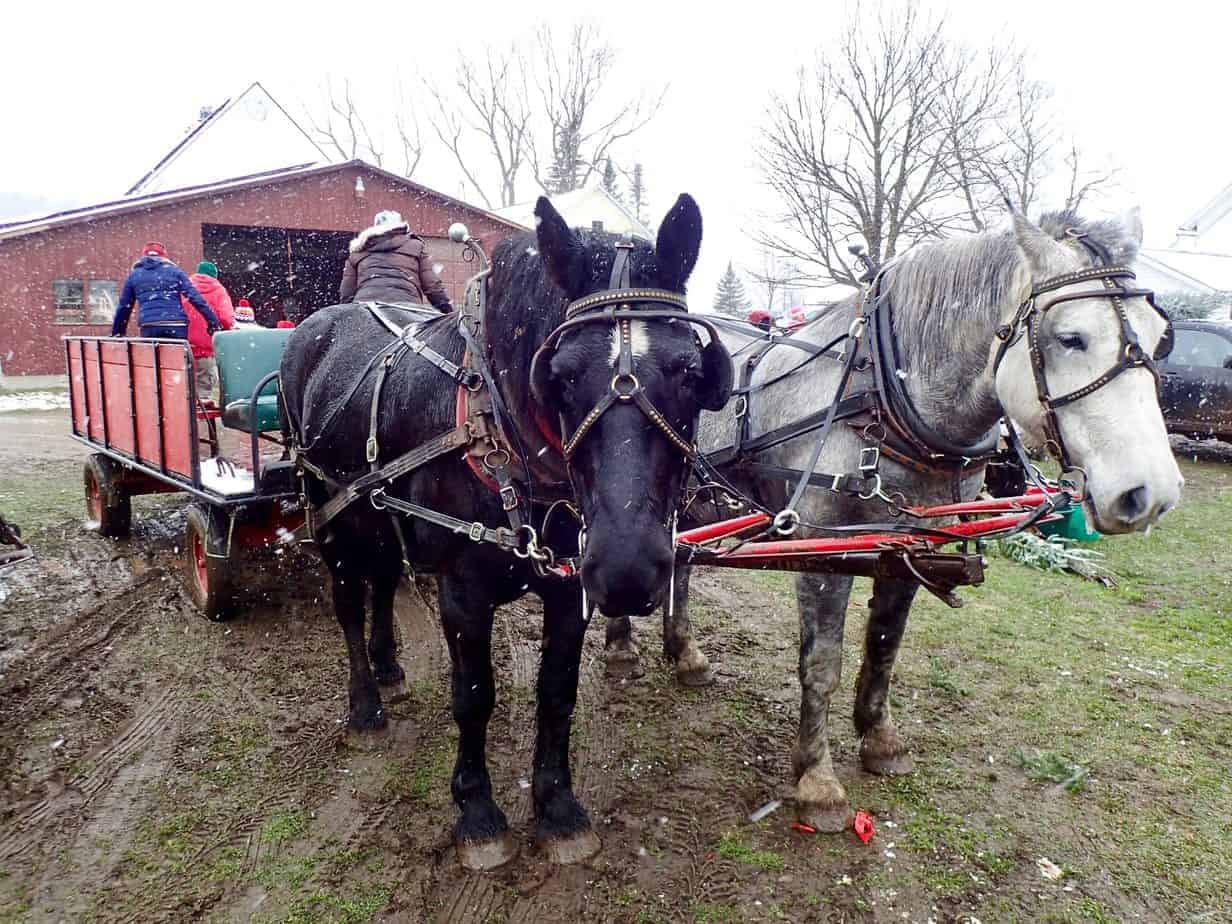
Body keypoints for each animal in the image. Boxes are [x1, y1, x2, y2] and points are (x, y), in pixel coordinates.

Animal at [279, 195, 729, 867]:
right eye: (561, 374)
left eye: (690, 370)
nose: (626, 568)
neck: (498, 431)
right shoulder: (463, 591)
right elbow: (475, 693)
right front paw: (478, 812)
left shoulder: (571, 587)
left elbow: (557, 690)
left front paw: (559, 808)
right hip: (330, 514)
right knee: (348, 602)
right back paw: (365, 705)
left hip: (382, 516)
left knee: (382, 581)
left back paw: (389, 668)